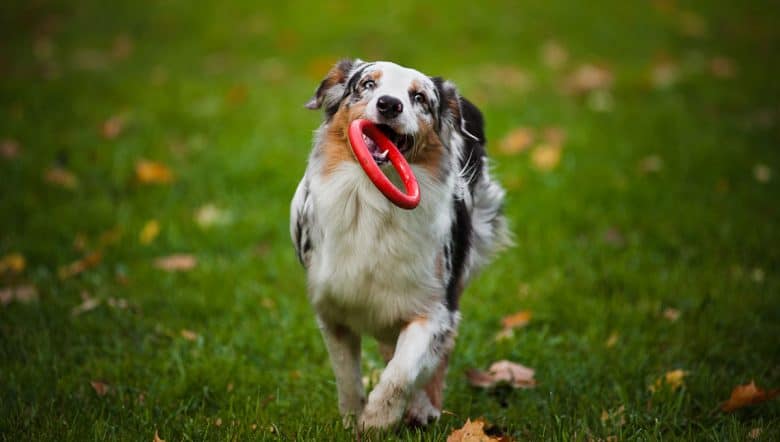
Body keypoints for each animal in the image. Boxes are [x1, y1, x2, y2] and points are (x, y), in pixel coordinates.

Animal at [290, 60, 508, 430]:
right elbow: (346, 376)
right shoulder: (332, 309)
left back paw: (423, 407)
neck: (372, 202)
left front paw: (377, 419)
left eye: (419, 97)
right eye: (366, 84)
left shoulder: (434, 308)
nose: (389, 104)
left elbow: (402, 371)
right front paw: (352, 420)